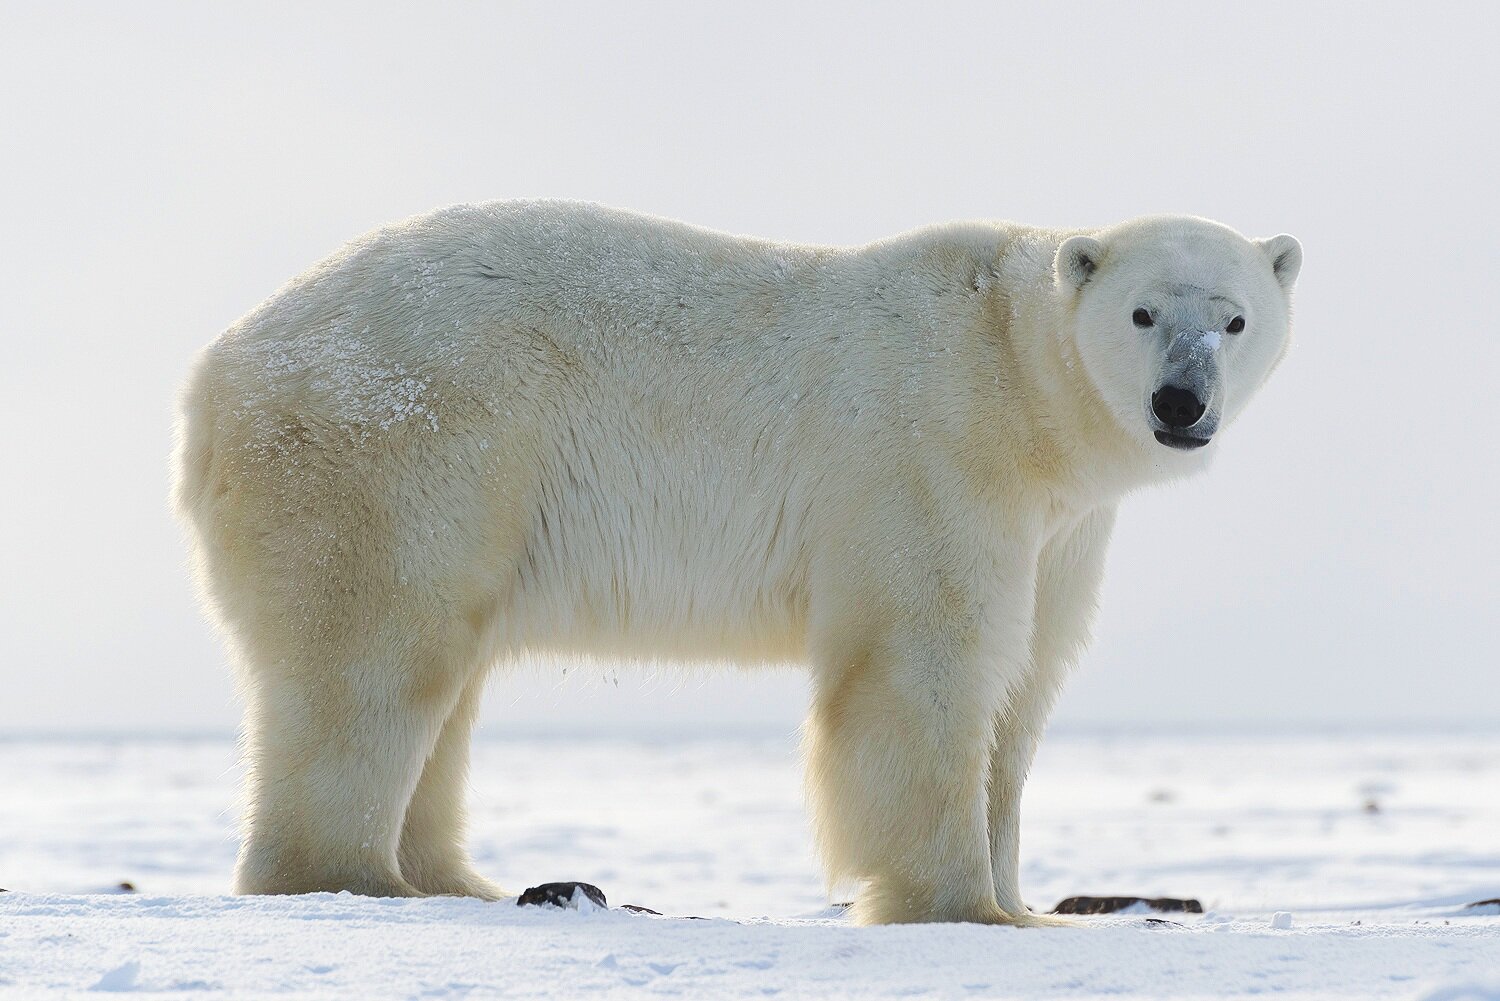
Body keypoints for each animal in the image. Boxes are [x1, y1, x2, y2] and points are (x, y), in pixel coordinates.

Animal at [172, 199, 1302, 930]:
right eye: (1144, 312)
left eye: (1236, 317)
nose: (1180, 403)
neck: (1017, 379)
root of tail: (217, 370)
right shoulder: (930, 451)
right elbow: (923, 662)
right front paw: (966, 908)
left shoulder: (1060, 527)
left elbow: (1026, 680)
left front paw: (1031, 899)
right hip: (408, 443)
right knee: (374, 653)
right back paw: (359, 877)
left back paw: (459, 878)